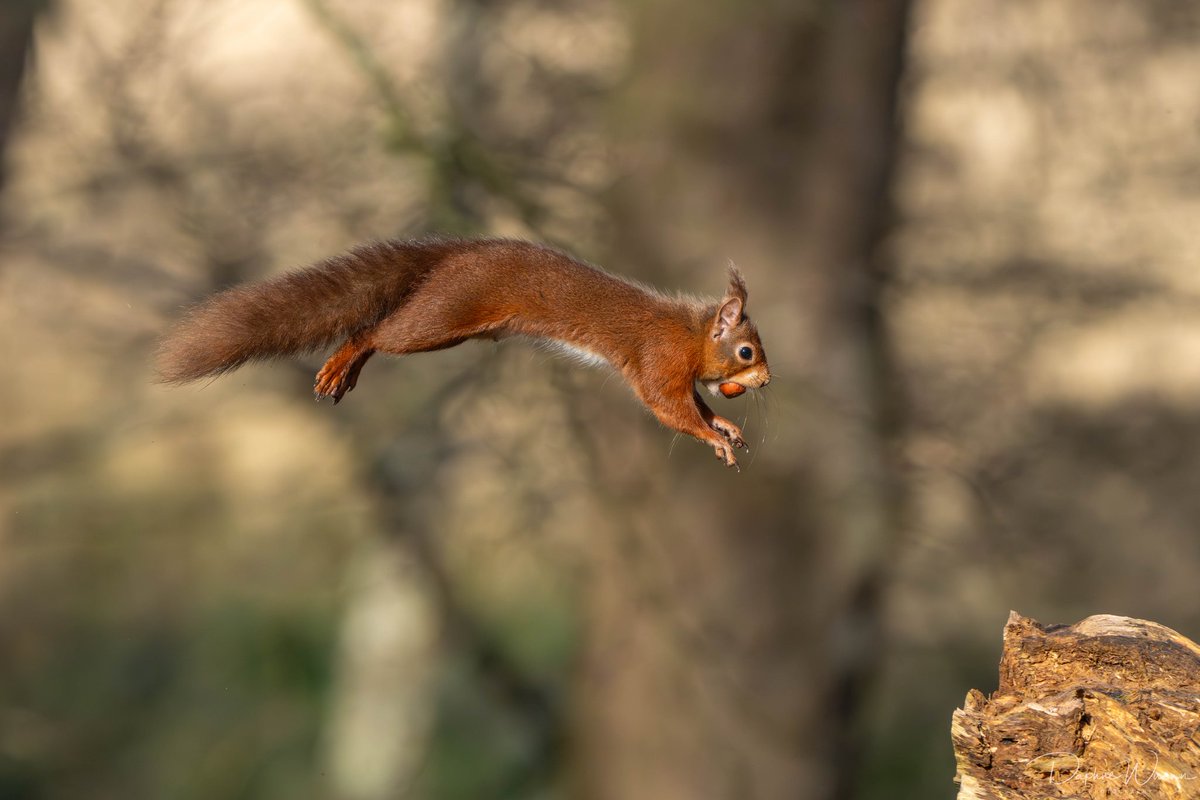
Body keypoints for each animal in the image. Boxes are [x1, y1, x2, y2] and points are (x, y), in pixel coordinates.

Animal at [157, 235, 768, 465]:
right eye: (746, 353)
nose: (766, 381)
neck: (691, 333)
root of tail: (451, 255)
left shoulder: (680, 374)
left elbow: (696, 403)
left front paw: (726, 426)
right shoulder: (658, 362)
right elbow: (669, 407)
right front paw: (715, 437)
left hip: (447, 323)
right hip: (441, 316)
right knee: (375, 334)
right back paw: (342, 361)